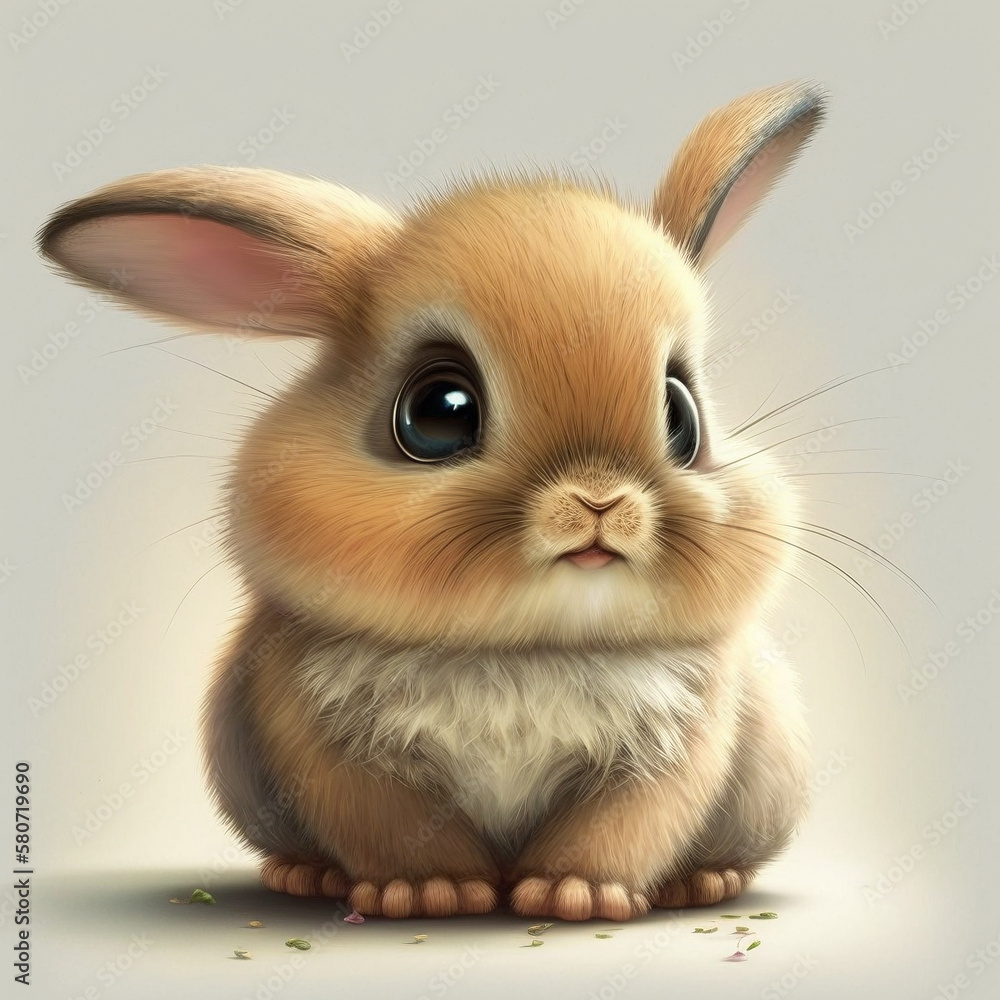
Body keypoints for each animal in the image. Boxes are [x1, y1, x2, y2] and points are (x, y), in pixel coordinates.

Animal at [38, 81, 826, 921]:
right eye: (438, 413)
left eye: (682, 416)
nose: (600, 502)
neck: (526, 654)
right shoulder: (335, 753)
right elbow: (394, 827)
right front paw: (432, 894)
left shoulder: (674, 747)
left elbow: (620, 826)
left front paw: (572, 896)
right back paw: (306, 876)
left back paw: (701, 883)